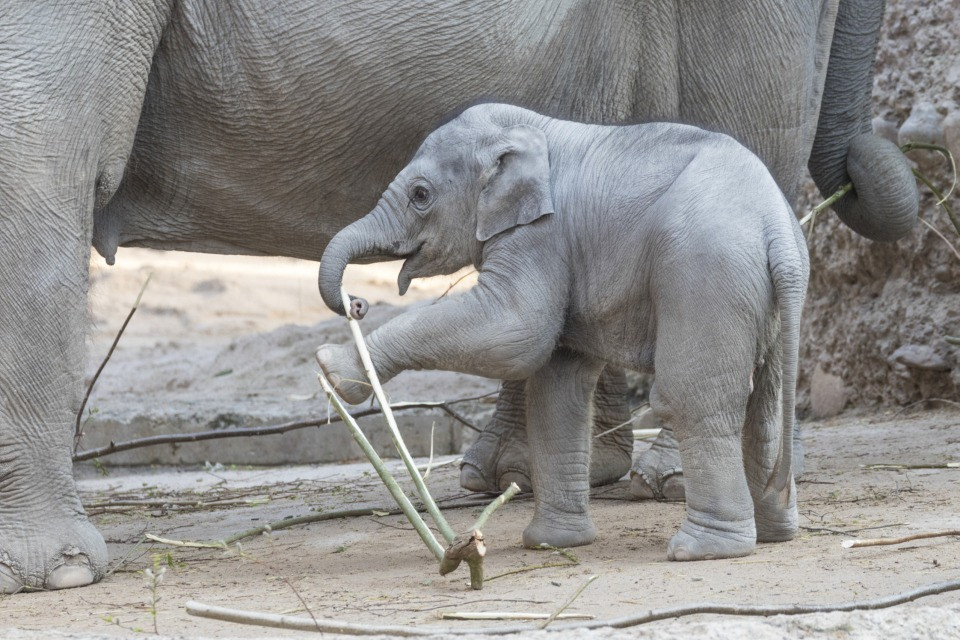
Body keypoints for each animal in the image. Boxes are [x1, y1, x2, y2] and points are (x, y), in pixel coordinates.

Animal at [315, 102, 810, 560]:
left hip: (705, 274)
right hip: (764, 298)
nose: (356, 302)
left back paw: (701, 549)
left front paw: (333, 369)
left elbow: (515, 329)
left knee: (692, 400)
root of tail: (778, 230)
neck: (530, 128)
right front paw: (550, 544)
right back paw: (774, 534)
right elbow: (556, 387)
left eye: (421, 194)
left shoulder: (541, 236)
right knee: (765, 406)